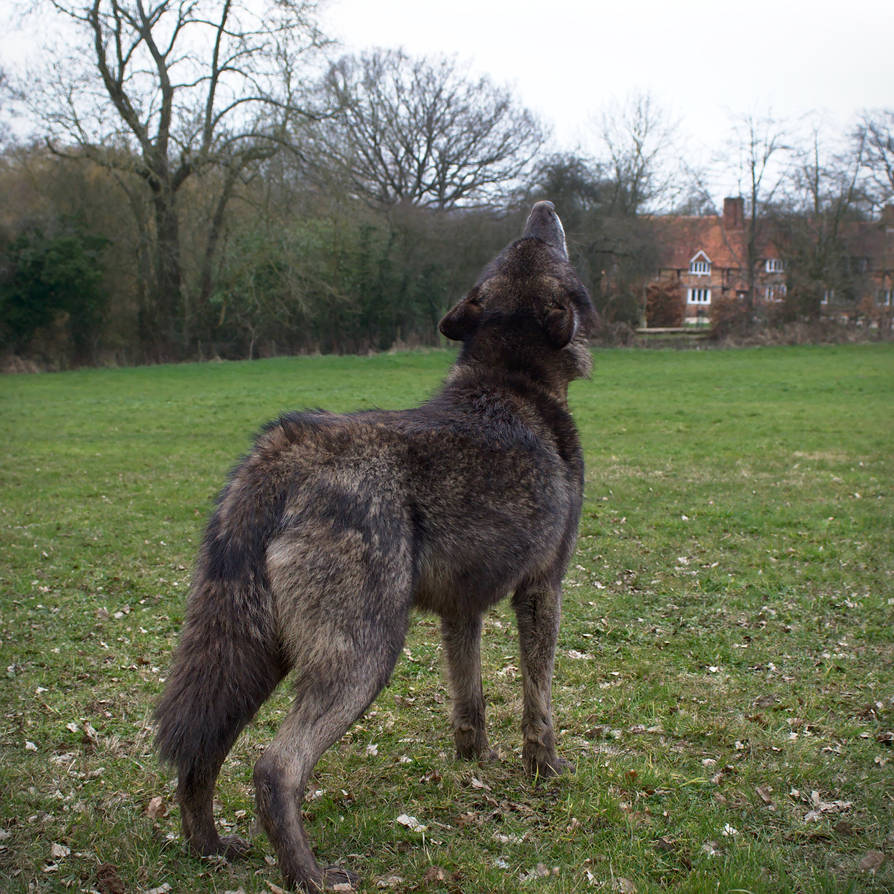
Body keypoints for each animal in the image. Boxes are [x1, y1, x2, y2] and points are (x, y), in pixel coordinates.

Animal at [154, 201, 597, 891]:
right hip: (363, 658)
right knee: (274, 767)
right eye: (540, 247)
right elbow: (538, 700)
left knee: (202, 753)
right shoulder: (542, 591)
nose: (544, 208)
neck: (511, 379)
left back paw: (210, 847)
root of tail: (287, 450)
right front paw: (544, 771)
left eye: (517, 246)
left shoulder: (461, 611)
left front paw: (475, 764)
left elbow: (469, 699)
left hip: (251, 656)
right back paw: (309, 875)